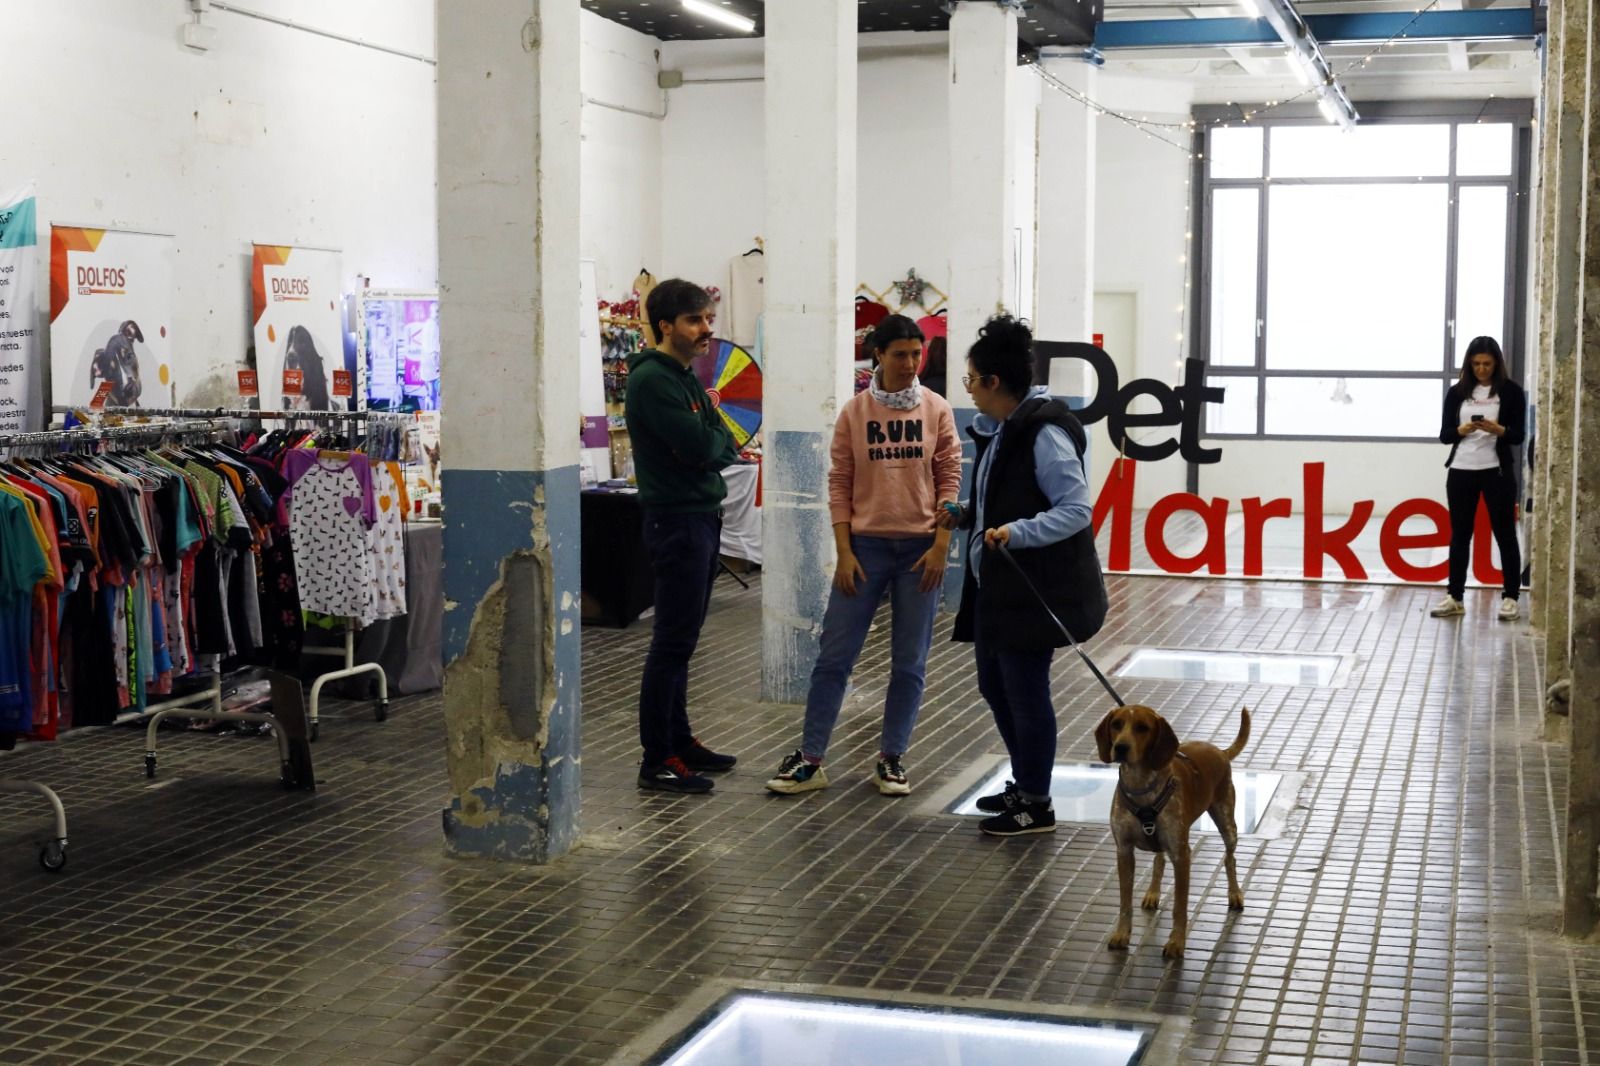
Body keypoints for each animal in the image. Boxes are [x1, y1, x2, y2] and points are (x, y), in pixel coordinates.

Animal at [1094, 704, 1254, 953]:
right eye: (1116, 725)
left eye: (1142, 728)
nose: (1120, 747)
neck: (1141, 786)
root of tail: (1219, 751)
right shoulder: (1124, 851)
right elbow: (1125, 902)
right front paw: (1122, 933)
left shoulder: (1181, 855)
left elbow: (1180, 906)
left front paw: (1177, 941)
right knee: (1159, 860)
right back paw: (1153, 892)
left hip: (1228, 825)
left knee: (1230, 859)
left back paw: (1234, 893)